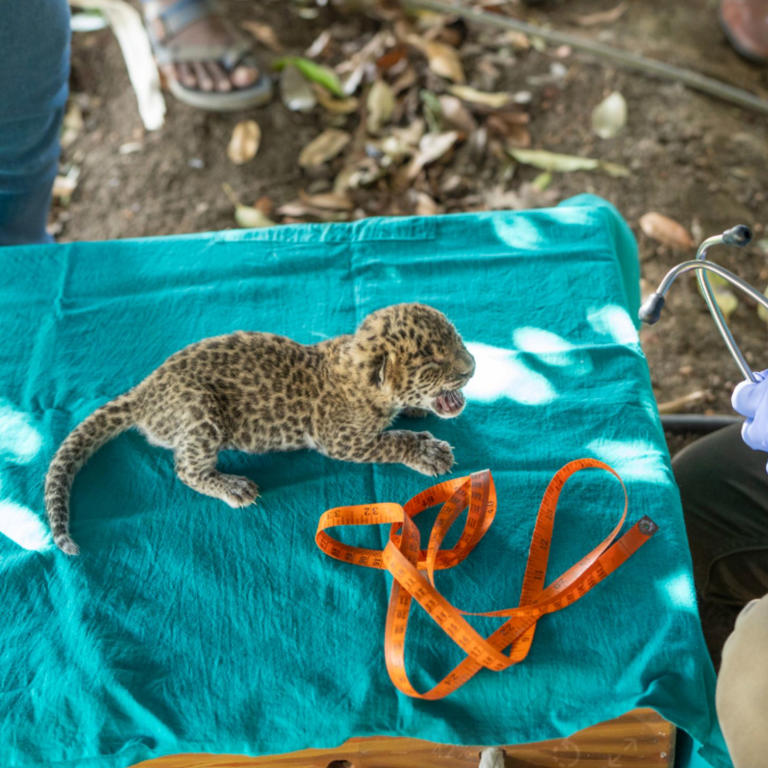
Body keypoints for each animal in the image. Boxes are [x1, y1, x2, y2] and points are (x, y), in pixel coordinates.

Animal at [45, 303, 476, 556]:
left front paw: (414, 412)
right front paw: (428, 451)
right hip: (200, 409)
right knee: (186, 468)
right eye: (432, 362)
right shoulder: (341, 440)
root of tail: (144, 392)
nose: (472, 367)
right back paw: (231, 486)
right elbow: (391, 442)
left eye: (457, 338)